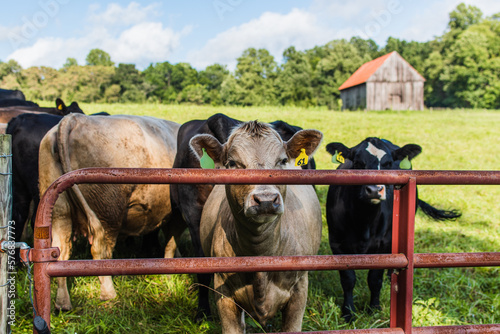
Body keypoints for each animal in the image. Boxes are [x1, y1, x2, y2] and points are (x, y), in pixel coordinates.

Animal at [38, 113, 184, 312]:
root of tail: (76, 118)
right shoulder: (177, 215)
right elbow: (171, 243)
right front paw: (171, 275)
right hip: (108, 211)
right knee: (101, 251)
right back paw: (108, 293)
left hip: (59, 210)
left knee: (61, 251)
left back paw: (63, 302)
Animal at [169, 113, 316, 320]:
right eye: (232, 163)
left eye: (283, 161)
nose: (266, 200)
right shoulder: (194, 218)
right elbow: (203, 270)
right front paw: (202, 313)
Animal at [324, 137, 460, 322]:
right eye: (358, 163)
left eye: (388, 163)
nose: (375, 190)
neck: (364, 221)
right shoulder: (337, 243)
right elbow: (348, 279)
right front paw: (349, 312)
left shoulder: (383, 245)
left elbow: (375, 279)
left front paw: (374, 308)